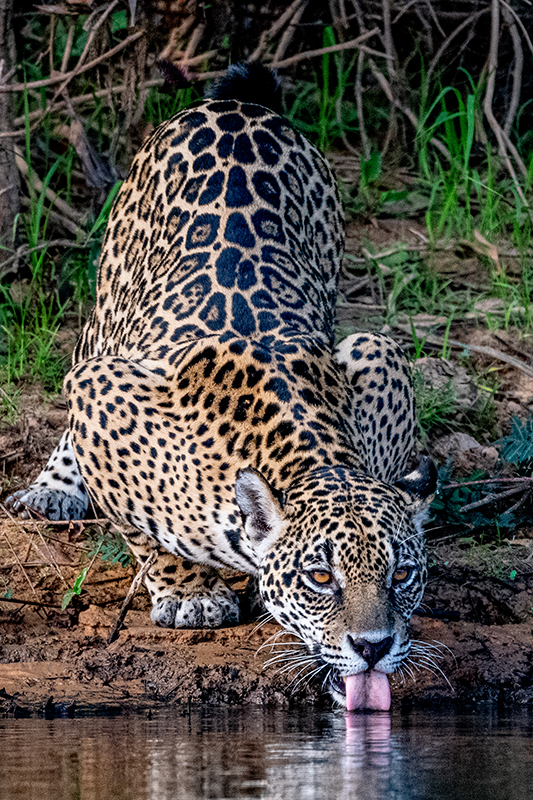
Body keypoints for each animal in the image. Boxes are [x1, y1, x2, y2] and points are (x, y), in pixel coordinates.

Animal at [7, 63, 437, 710]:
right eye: (321, 578)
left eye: (401, 574)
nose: (374, 646)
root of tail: (238, 107)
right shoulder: (106, 389)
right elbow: (147, 532)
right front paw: (191, 594)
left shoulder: (376, 356)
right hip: (107, 306)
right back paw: (51, 489)